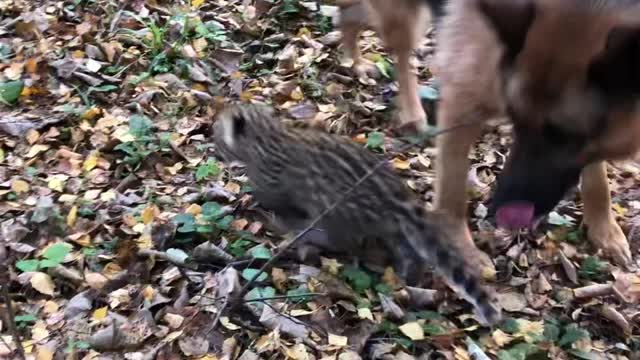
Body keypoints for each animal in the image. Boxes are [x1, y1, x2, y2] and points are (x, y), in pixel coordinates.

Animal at [430, 0, 640, 272]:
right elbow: (452, 183)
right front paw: (458, 247)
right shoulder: (462, 95)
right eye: (516, 119)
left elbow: (596, 173)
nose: (499, 211)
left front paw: (604, 228)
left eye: (564, 136)